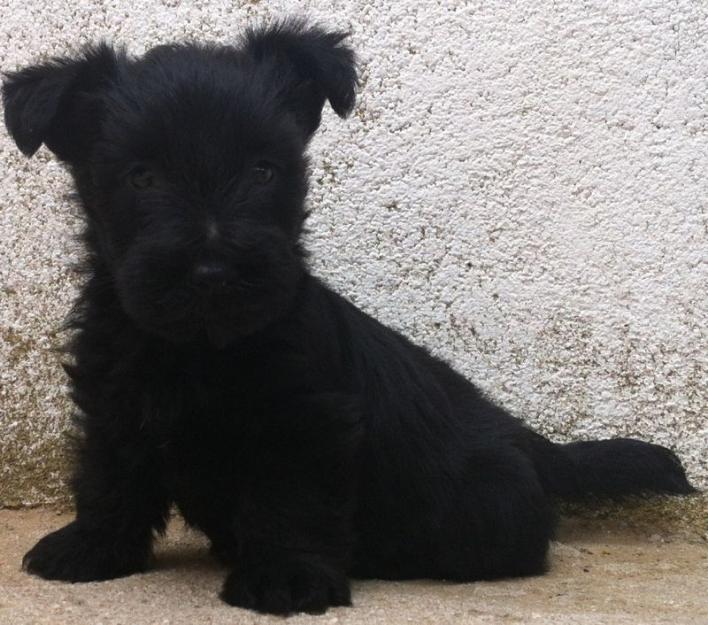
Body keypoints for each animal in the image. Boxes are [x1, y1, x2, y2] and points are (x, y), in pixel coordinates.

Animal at [1, 18, 696, 616]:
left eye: (264, 169)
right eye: (141, 176)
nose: (214, 271)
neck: (200, 346)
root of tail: (525, 438)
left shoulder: (305, 419)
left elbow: (293, 498)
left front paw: (286, 576)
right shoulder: (114, 398)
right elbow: (109, 473)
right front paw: (91, 546)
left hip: (484, 507)